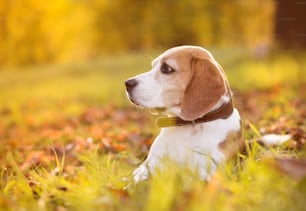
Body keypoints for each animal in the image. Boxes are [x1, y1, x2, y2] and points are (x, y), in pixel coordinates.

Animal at [125, 45, 243, 182]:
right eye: (153, 66)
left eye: (166, 68)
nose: (127, 83)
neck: (187, 126)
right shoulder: (152, 167)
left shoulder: (205, 173)